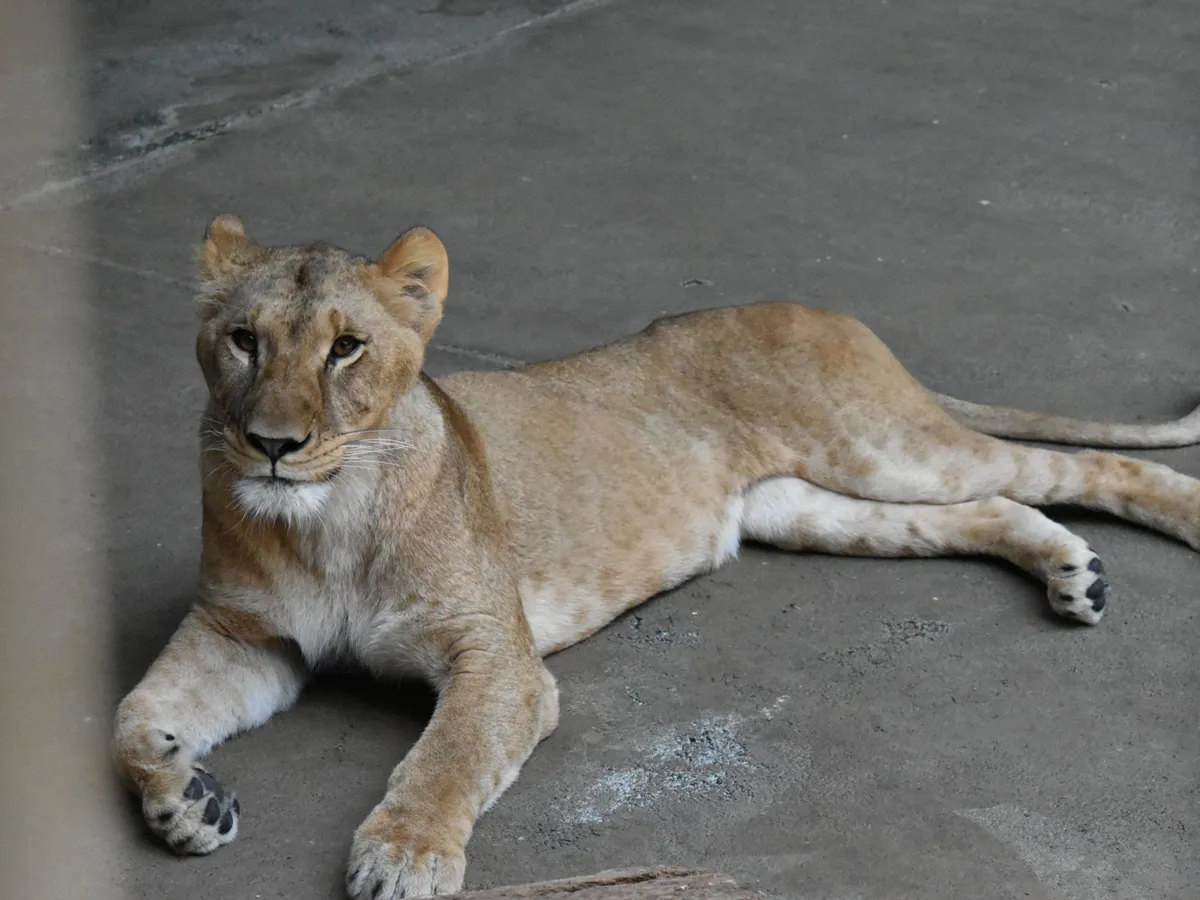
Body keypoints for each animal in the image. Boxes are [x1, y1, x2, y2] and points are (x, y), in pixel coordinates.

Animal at [113, 216, 1200, 899]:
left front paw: (404, 857)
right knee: (994, 505)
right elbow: (132, 721)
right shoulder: (246, 636)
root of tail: (816, 308)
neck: (325, 518)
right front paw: (186, 802)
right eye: (243, 340)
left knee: (1073, 464)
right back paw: (1072, 572)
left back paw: (1169, 526)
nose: (272, 444)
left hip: (886, 447)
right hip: (810, 505)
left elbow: (447, 755)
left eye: (346, 348)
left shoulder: (495, 656)